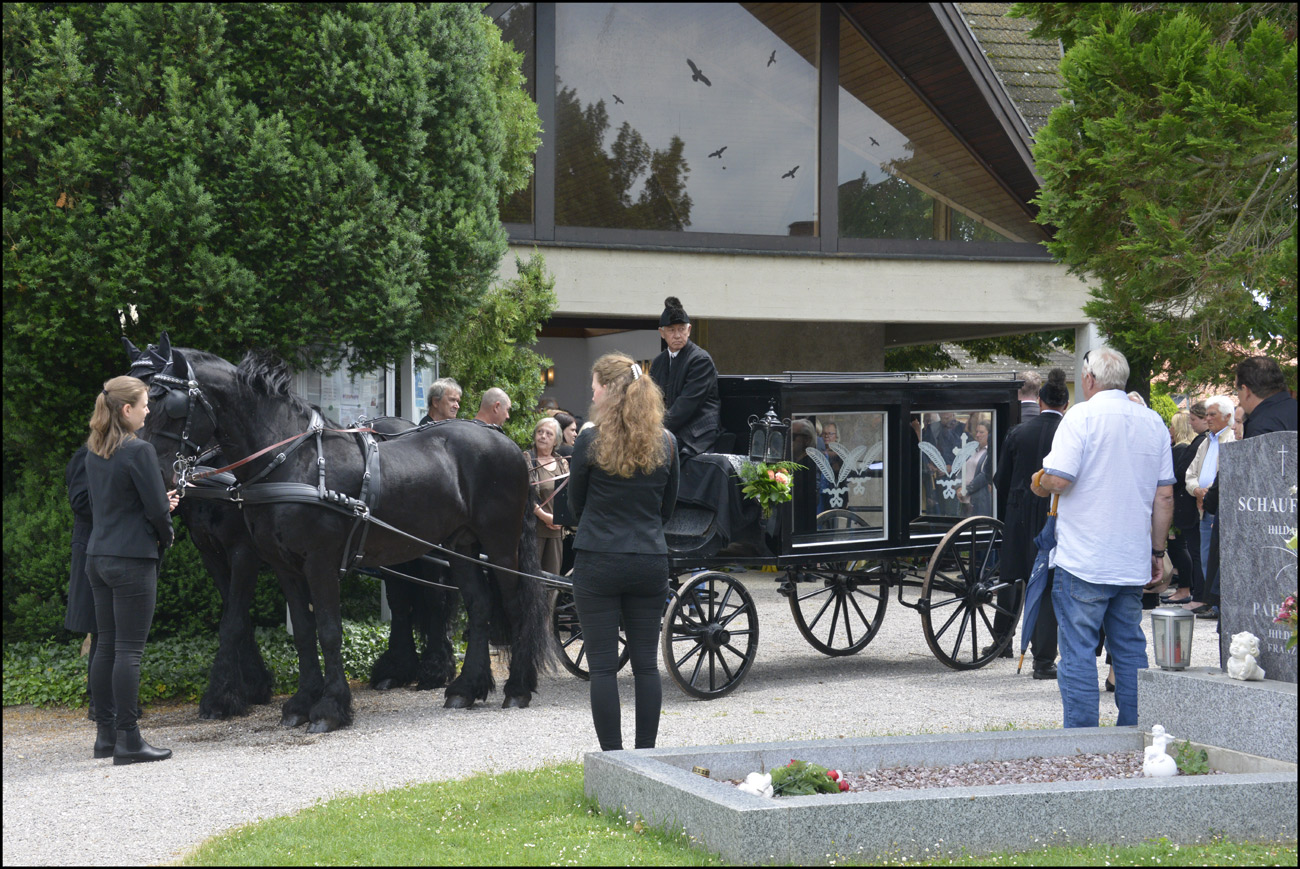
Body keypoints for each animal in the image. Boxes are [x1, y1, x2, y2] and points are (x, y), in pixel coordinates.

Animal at [131, 335, 553, 728]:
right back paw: (465, 688)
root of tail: (505, 440)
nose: (150, 469)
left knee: (515, 606)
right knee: (478, 605)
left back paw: (516, 688)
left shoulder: (315, 561)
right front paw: (300, 703)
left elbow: (329, 631)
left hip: (500, 545)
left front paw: (329, 708)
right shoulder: (282, 565)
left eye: (168, 402)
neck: (291, 461)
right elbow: (303, 632)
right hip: (460, 545)